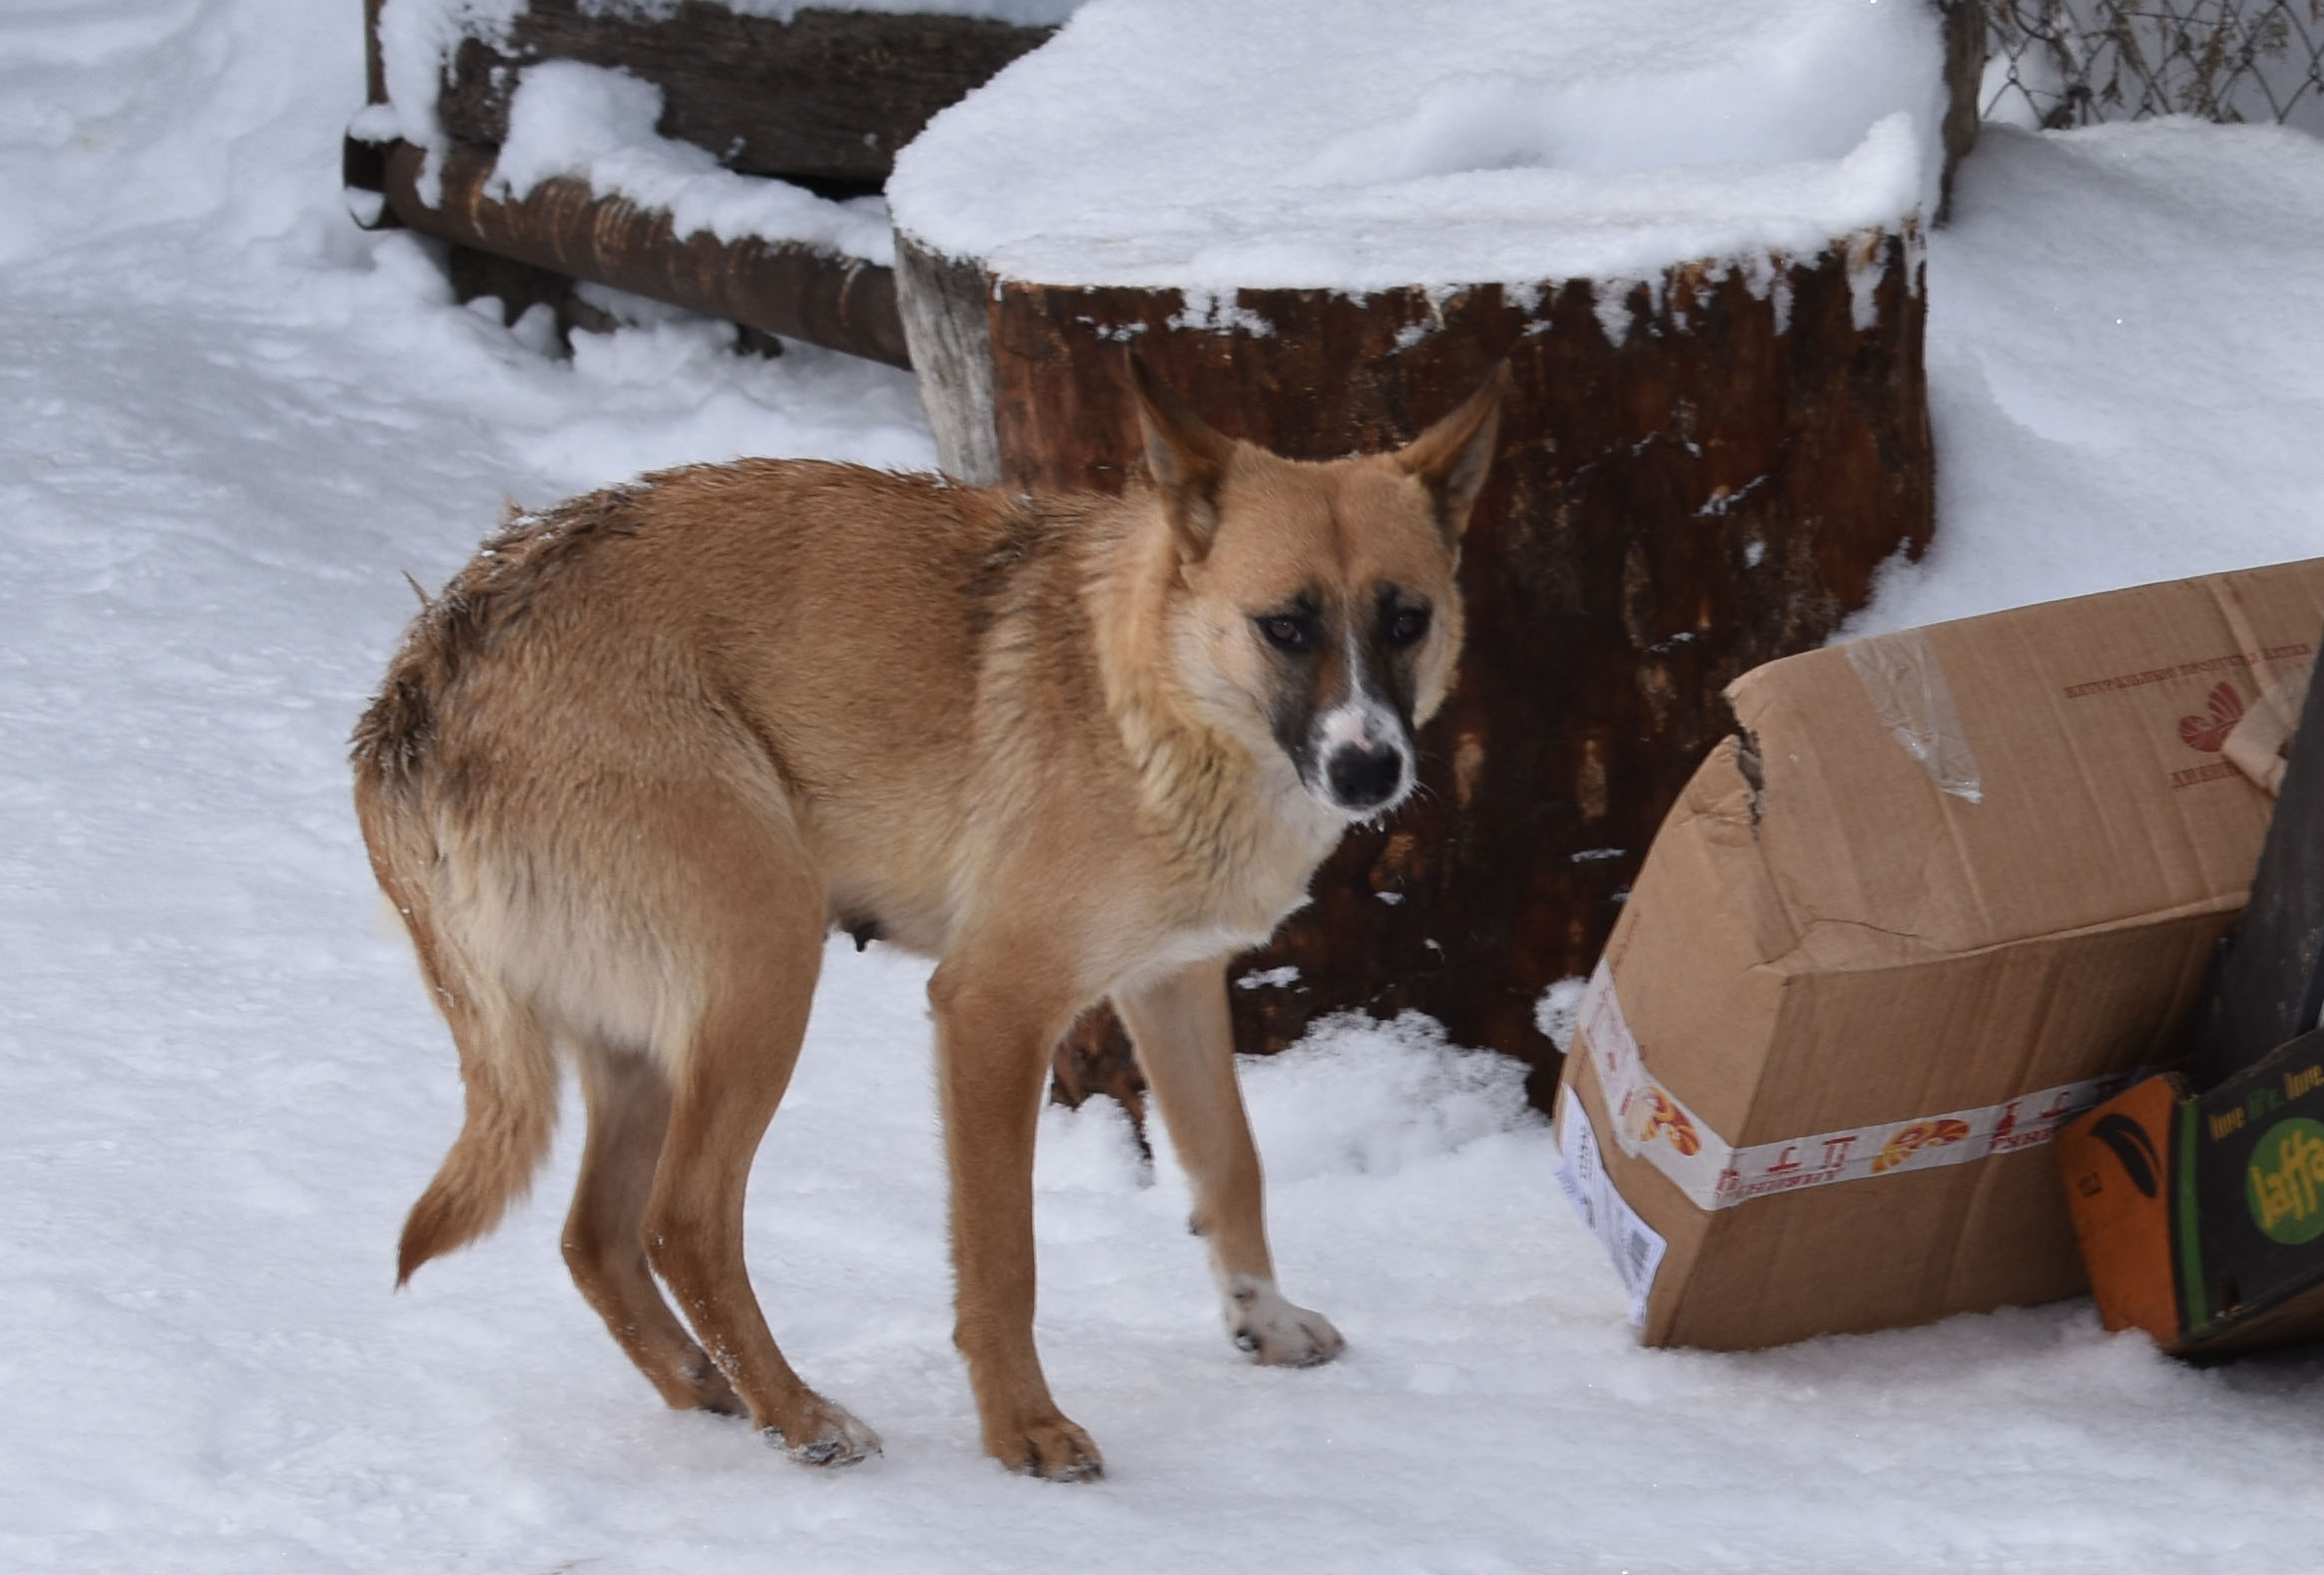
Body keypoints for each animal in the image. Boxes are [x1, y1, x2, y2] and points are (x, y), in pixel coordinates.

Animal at [350, 357, 1496, 1477]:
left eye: (1406, 619)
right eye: (1285, 627)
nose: (1370, 769)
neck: (1150, 693)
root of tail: (424, 678)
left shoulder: (1170, 983)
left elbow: (1231, 1162)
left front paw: (1265, 1320)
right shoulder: (992, 1009)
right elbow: (1003, 1259)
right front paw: (1023, 1431)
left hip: (644, 1038)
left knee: (595, 1235)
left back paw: (714, 1391)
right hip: (765, 966)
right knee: (683, 1221)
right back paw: (802, 1417)